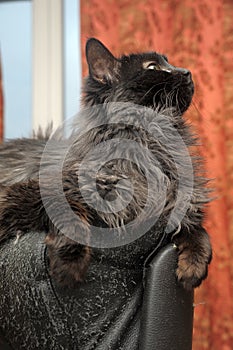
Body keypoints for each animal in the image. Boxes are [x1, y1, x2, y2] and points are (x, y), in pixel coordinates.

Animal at [0, 38, 212, 290]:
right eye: (152, 67)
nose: (187, 72)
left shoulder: (182, 203)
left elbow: (199, 233)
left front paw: (193, 267)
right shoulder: (43, 187)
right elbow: (70, 217)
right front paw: (68, 266)